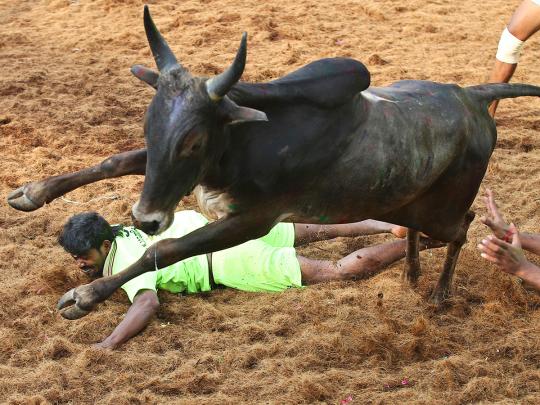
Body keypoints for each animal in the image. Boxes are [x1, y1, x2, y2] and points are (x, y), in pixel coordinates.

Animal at [7, 4, 540, 318]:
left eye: (193, 141)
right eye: (150, 125)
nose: (146, 218)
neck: (247, 144)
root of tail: (473, 98)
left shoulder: (252, 220)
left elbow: (168, 249)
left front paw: (86, 296)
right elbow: (115, 161)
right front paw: (31, 193)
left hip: (443, 209)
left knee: (462, 228)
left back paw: (440, 293)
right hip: (406, 202)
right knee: (415, 229)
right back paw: (411, 273)